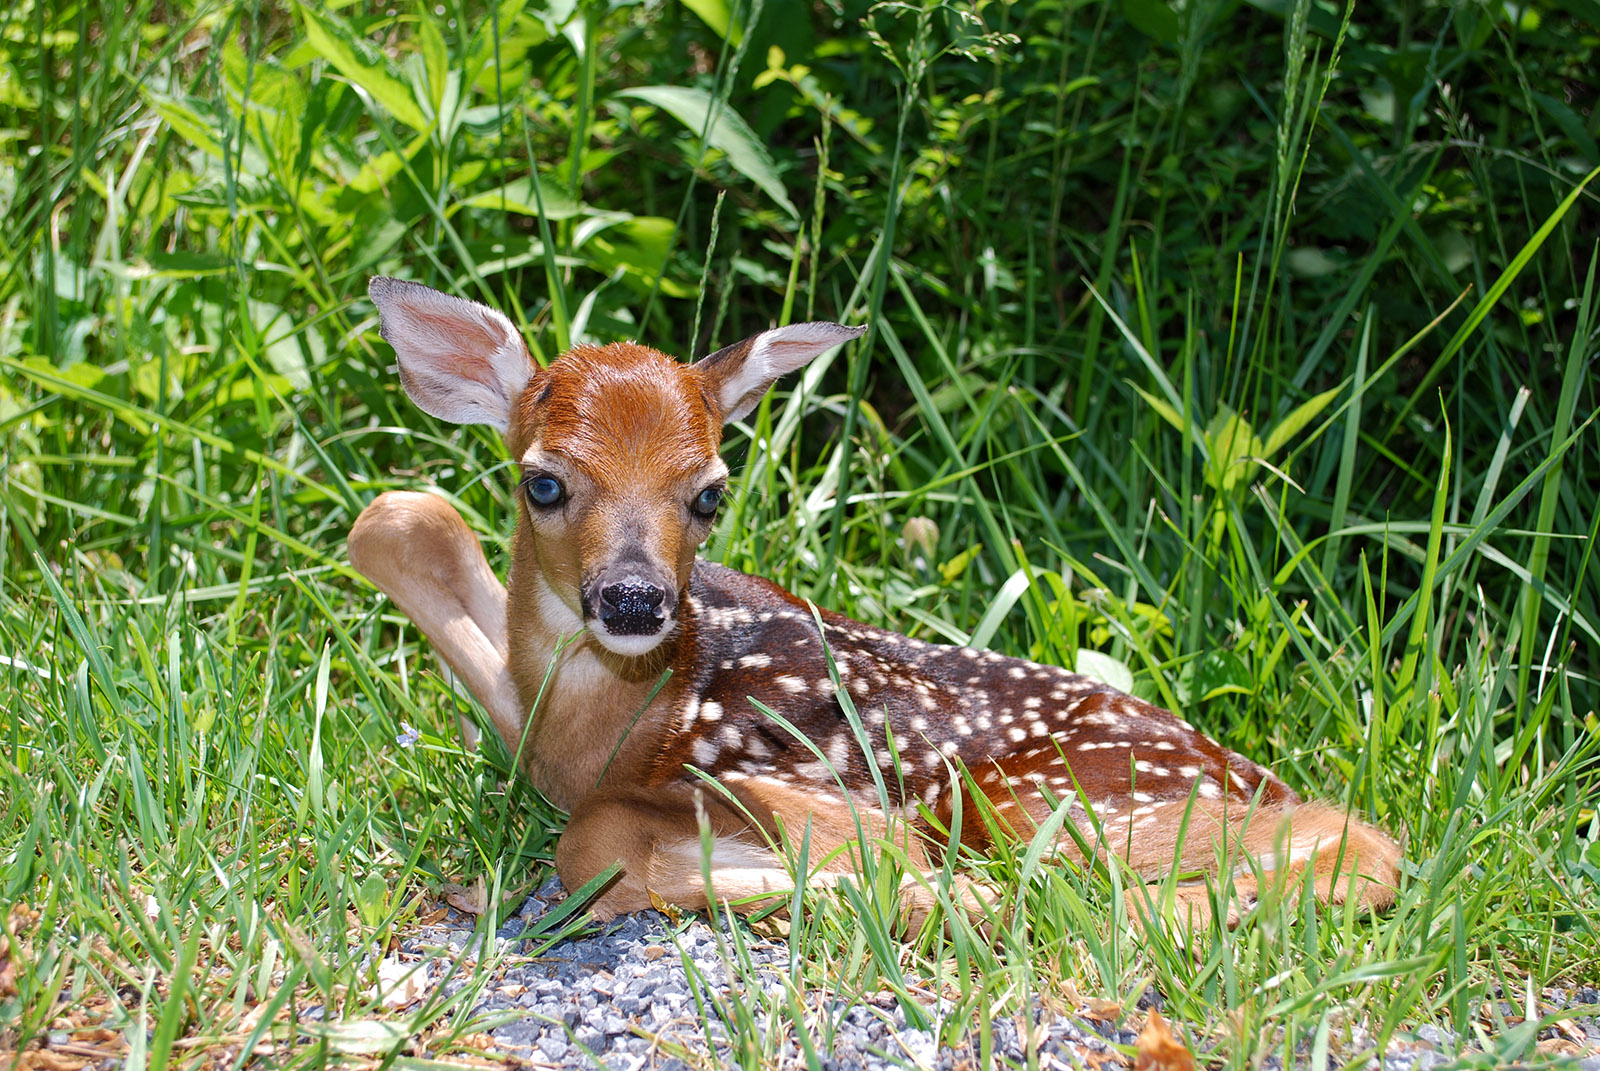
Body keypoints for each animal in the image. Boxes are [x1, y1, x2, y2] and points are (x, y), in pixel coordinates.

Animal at [348, 277, 1402, 932]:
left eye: (710, 492)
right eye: (544, 482)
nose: (637, 599)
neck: (636, 713)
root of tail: (1246, 770)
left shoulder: (800, 778)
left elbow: (597, 841)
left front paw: (809, 881)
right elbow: (398, 514)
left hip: (1045, 798)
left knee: (1353, 842)